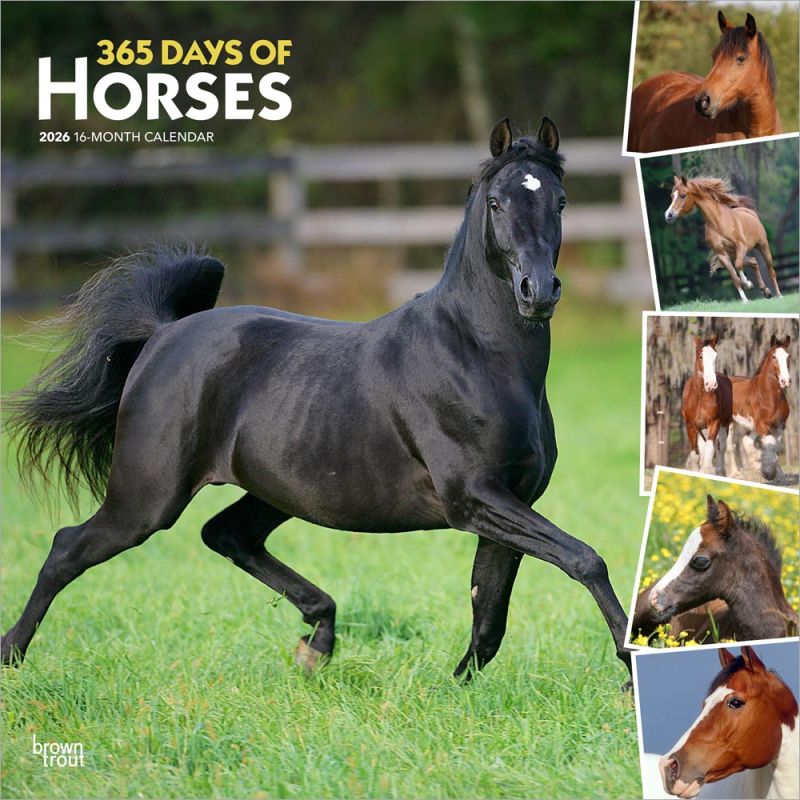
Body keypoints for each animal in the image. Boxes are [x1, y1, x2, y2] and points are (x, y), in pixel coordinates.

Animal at [1, 118, 633, 683]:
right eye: (498, 202)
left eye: (560, 201)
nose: (538, 292)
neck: (477, 354)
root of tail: (161, 335)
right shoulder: (473, 498)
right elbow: (584, 559)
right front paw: (630, 672)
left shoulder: (509, 500)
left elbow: (489, 616)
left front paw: (452, 690)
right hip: (147, 497)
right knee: (68, 548)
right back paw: (12, 655)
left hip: (276, 491)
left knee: (227, 535)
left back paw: (318, 641)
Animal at [664, 175, 782, 303]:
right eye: (671, 196)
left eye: (683, 195)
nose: (668, 215)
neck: (718, 222)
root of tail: (750, 212)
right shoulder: (722, 254)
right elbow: (734, 277)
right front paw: (745, 299)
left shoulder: (741, 245)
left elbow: (738, 265)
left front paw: (747, 284)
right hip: (733, 254)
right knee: (754, 261)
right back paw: (766, 291)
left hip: (763, 246)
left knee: (770, 270)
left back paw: (779, 295)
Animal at [681, 335, 732, 476]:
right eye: (700, 356)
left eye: (716, 356)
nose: (711, 384)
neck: (700, 396)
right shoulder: (691, 425)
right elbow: (695, 454)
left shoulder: (714, 422)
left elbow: (710, 449)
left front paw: (707, 471)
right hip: (701, 429)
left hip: (725, 423)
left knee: (721, 447)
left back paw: (721, 471)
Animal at [730, 335, 792, 483]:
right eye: (774, 356)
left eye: (788, 356)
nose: (786, 381)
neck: (768, 395)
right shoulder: (763, 425)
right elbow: (770, 445)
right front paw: (767, 473)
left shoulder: (779, 425)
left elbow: (775, 447)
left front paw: (778, 475)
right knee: (730, 446)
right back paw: (735, 473)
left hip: (751, 425)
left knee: (746, 440)